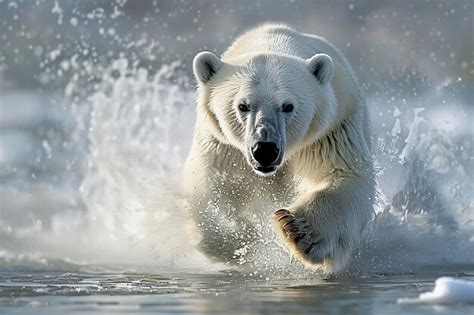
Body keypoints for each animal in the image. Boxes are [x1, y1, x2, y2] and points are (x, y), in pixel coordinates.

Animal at [184, 23, 374, 272]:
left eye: (287, 106)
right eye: (243, 105)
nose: (265, 150)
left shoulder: (329, 132)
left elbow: (343, 175)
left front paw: (297, 231)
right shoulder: (223, 146)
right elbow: (210, 186)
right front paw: (231, 237)